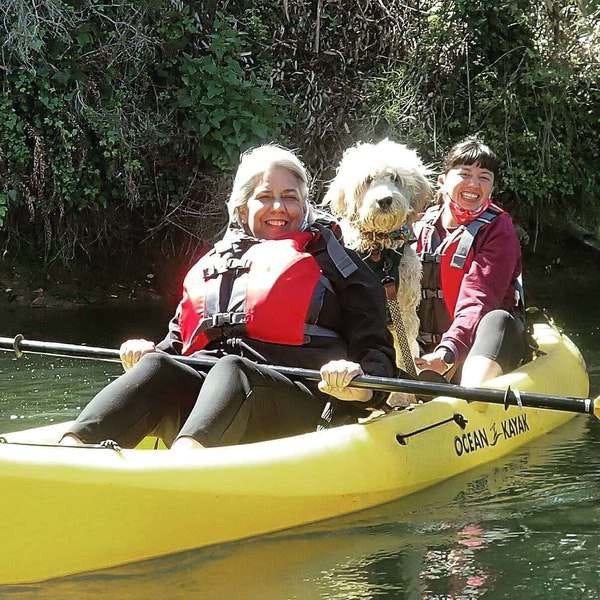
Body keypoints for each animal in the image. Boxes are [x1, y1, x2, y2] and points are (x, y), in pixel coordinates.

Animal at [324, 138, 432, 378]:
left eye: (395, 178)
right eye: (368, 180)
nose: (384, 200)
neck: (378, 250)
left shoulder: (405, 310)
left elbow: (403, 351)